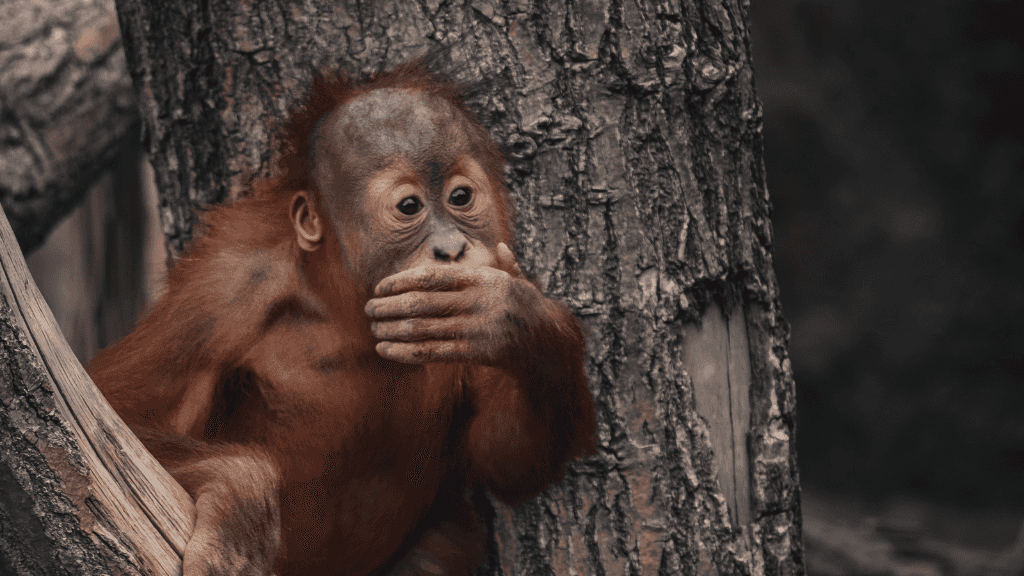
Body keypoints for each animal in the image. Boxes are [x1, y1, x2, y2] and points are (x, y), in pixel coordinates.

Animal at [88, 59, 597, 576]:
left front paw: (516, 317)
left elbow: (507, 461)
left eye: (461, 197)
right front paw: (241, 499)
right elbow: (115, 418)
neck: (349, 314)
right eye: (409, 207)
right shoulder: (217, 297)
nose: (452, 249)